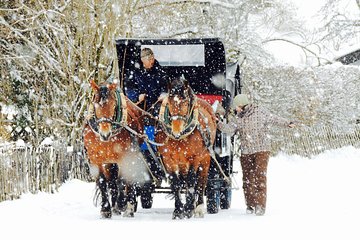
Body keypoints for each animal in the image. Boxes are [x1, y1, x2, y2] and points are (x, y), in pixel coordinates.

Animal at [83, 80, 146, 218]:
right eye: (95, 105)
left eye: (113, 105)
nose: (105, 134)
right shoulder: (95, 159)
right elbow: (103, 181)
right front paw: (106, 210)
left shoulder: (124, 157)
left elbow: (121, 180)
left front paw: (121, 203)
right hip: (109, 161)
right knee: (111, 181)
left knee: (127, 180)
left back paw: (128, 207)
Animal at [155, 77, 217, 219]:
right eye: (169, 102)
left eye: (185, 103)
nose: (176, 131)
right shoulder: (168, 158)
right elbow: (176, 183)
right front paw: (179, 210)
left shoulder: (195, 158)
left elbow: (192, 180)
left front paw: (188, 209)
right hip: (182, 161)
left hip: (205, 158)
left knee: (201, 181)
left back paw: (198, 207)